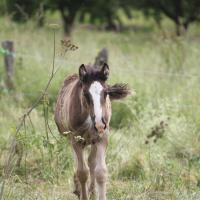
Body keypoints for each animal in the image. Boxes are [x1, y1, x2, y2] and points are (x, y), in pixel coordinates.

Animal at [54, 63, 130, 199]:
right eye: (85, 93)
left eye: (106, 92)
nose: (100, 125)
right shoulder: (76, 139)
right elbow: (82, 172)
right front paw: (83, 194)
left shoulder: (102, 138)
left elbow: (100, 171)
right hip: (73, 139)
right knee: (79, 163)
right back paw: (78, 189)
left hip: (92, 140)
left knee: (91, 162)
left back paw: (92, 191)